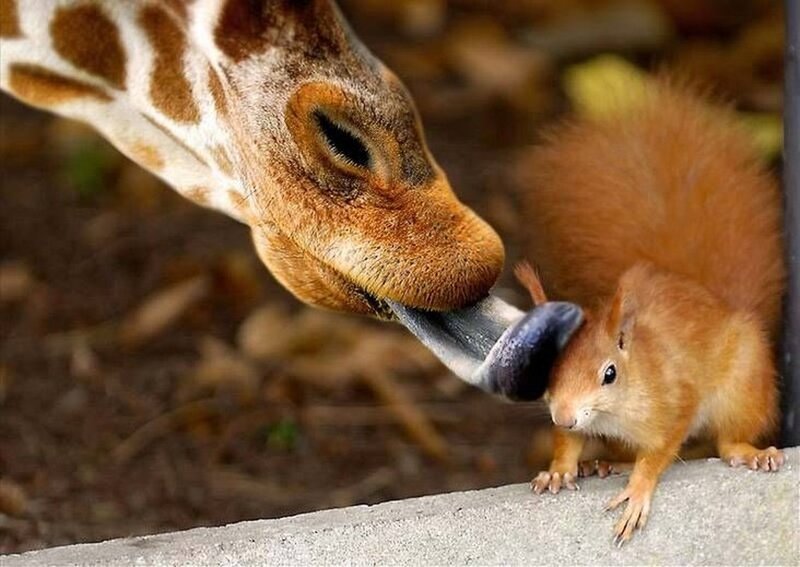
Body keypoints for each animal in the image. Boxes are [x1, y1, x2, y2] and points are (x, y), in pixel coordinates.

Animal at [513, 78, 786, 545]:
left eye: (609, 374)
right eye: (545, 366)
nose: (565, 415)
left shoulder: (675, 402)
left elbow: (660, 452)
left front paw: (637, 490)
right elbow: (566, 442)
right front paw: (559, 470)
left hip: (742, 389)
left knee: (728, 441)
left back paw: (750, 454)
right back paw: (608, 462)